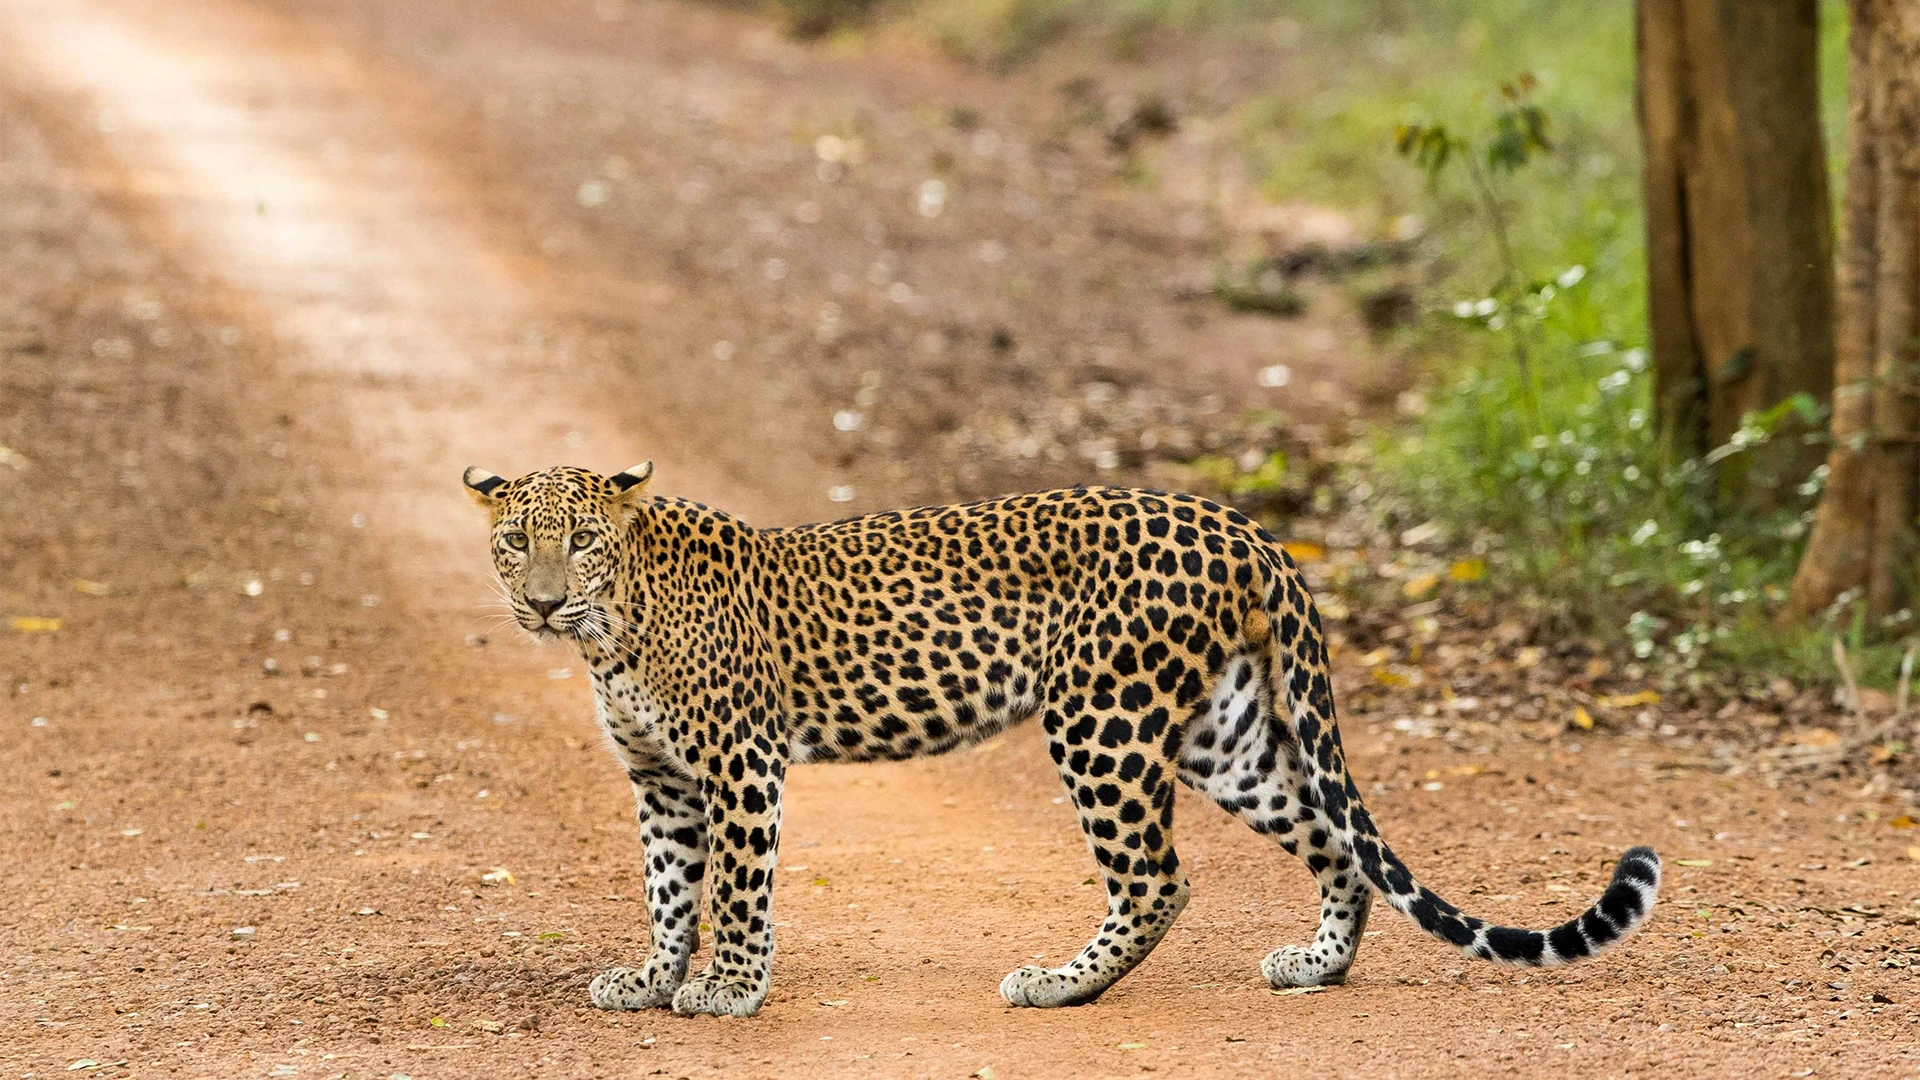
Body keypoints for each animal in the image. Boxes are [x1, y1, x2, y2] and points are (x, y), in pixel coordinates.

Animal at [462, 462, 1661, 1018]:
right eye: (514, 541)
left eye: (581, 542)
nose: (542, 603)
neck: (614, 631)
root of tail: (1248, 530)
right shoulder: (661, 781)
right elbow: (670, 889)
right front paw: (652, 978)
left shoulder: (741, 764)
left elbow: (739, 889)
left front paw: (732, 990)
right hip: (1225, 734)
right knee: (1329, 841)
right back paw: (1316, 965)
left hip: (1101, 718)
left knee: (1159, 878)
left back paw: (1061, 985)